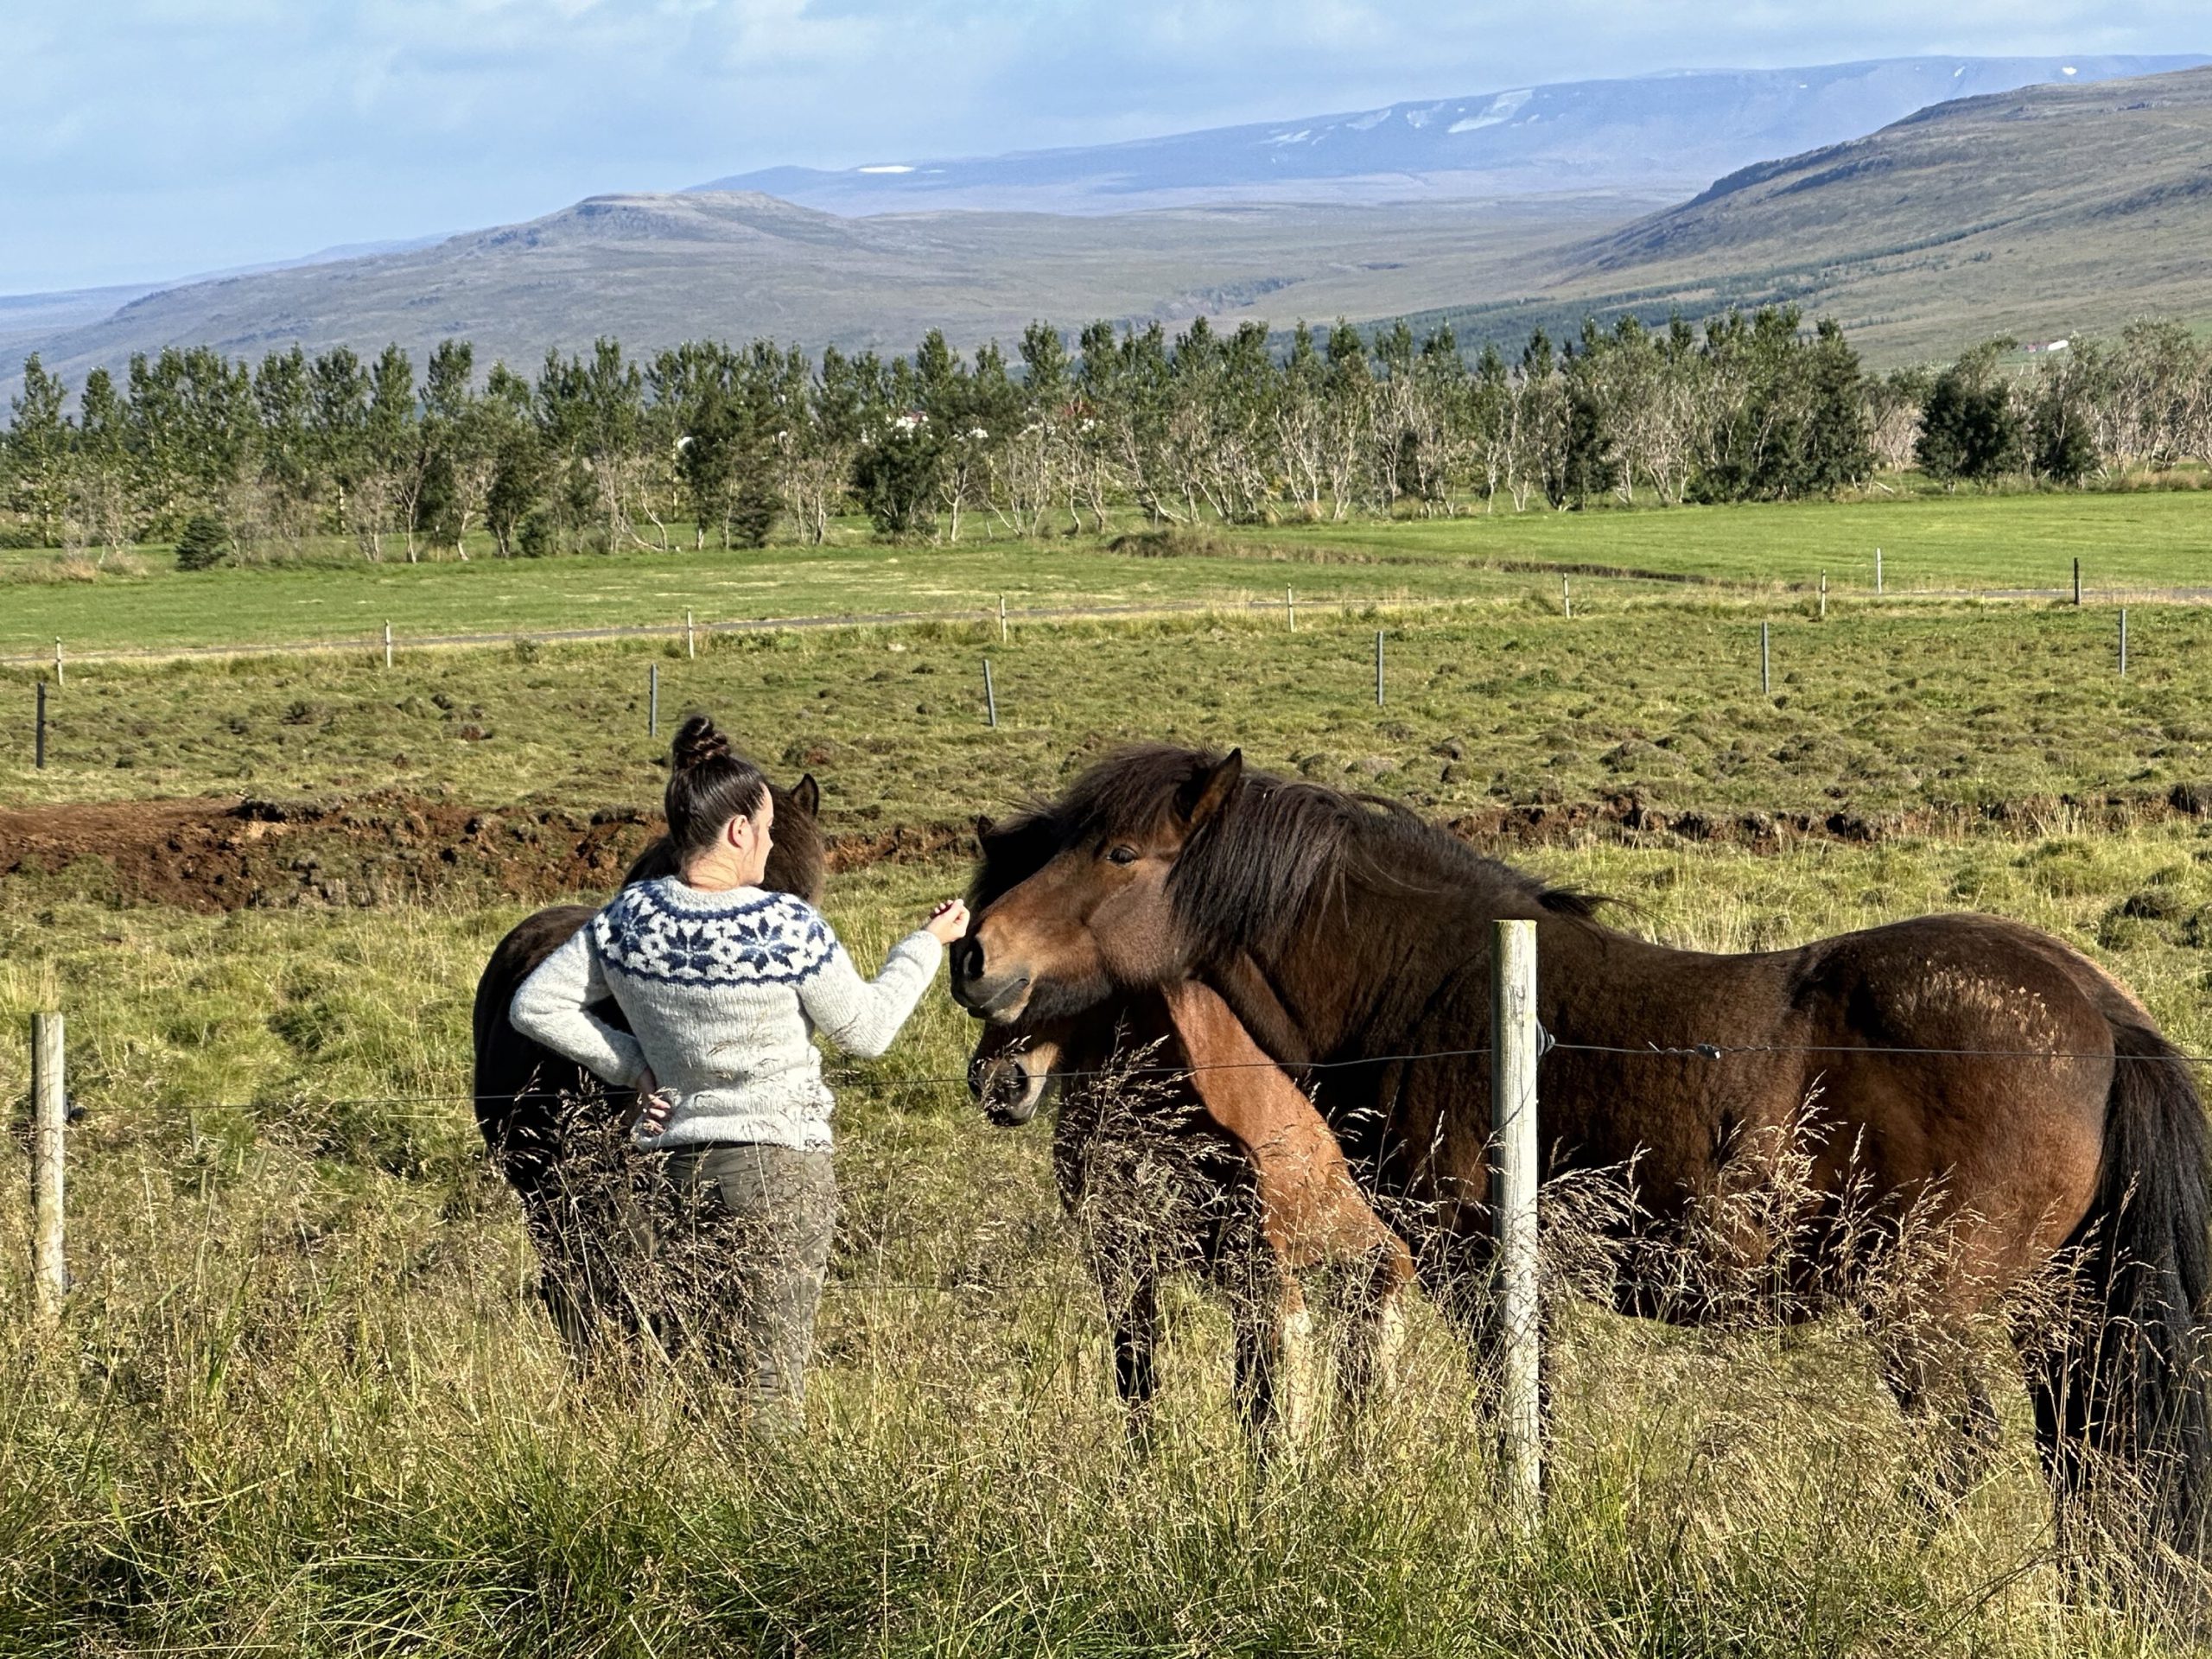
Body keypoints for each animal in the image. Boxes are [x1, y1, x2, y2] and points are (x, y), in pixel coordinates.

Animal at [948, 744, 2212, 1556]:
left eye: (1119, 853)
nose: (975, 960)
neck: (1434, 989)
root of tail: (2098, 1010)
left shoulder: (1475, 1270)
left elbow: (1511, 1420)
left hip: (1927, 1306)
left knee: (1961, 1449)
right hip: (2061, 1315)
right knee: (2080, 1456)